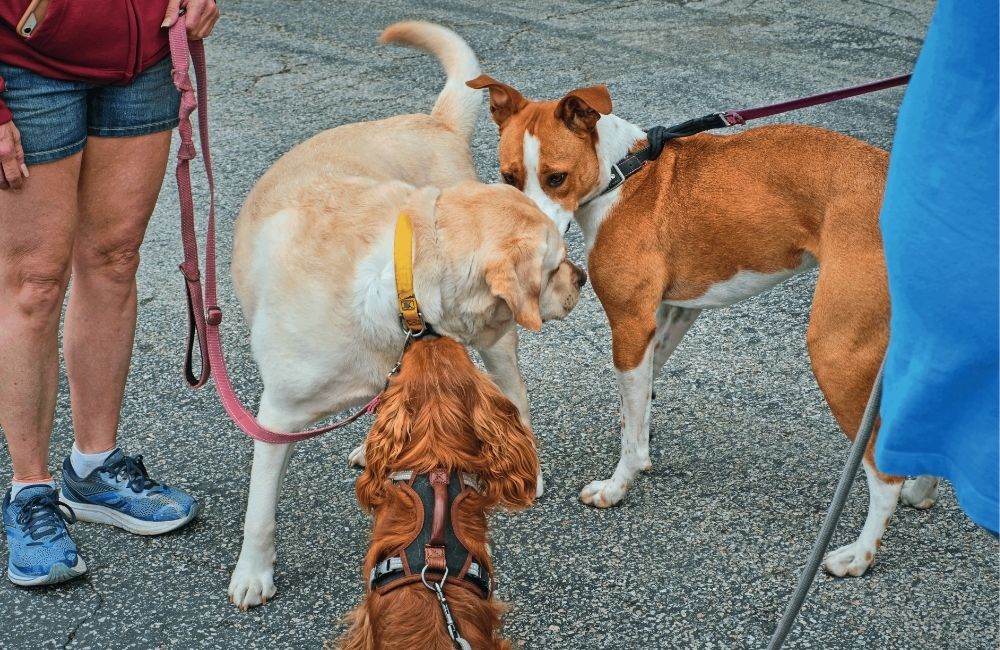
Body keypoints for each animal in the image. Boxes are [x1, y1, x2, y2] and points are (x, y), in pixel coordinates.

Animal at [223, 21, 584, 608]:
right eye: (554, 266)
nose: (581, 278)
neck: (401, 274)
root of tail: (434, 120)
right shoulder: (276, 416)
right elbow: (260, 510)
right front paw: (254, 572)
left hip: (497, 344)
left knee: (516, 397)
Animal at [466, 74, 936, 572]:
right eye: (509, 178)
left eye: (556, 178)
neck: (622, 173)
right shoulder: (672, 313)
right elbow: (641, 401)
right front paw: (641, 447)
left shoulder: (630, 324)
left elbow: (631, 424)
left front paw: (617, 486)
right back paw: (921, 491)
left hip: (836, 352)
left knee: (882, 474)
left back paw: (859, 556)